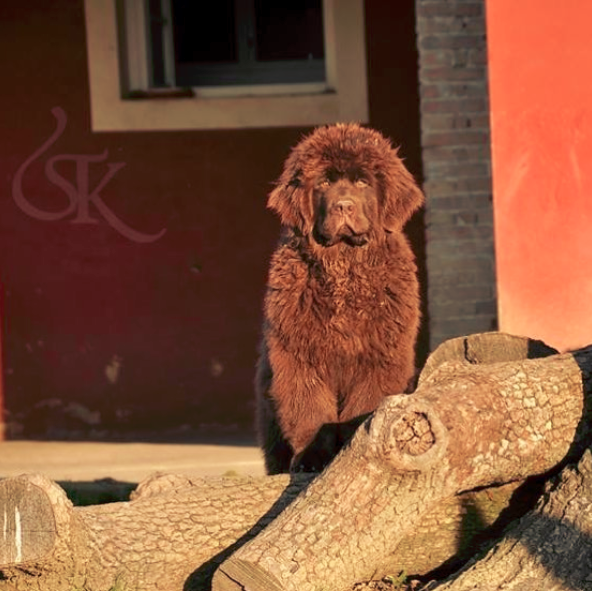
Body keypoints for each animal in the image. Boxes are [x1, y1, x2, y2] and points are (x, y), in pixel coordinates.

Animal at [256, 125, 424, 476]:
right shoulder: (298, 354)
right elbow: (308, 409)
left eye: (362, 182)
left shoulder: (379, 356)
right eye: (323, 183)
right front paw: (309, 459)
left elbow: (361, 409)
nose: (343, 206)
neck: (344, 270)